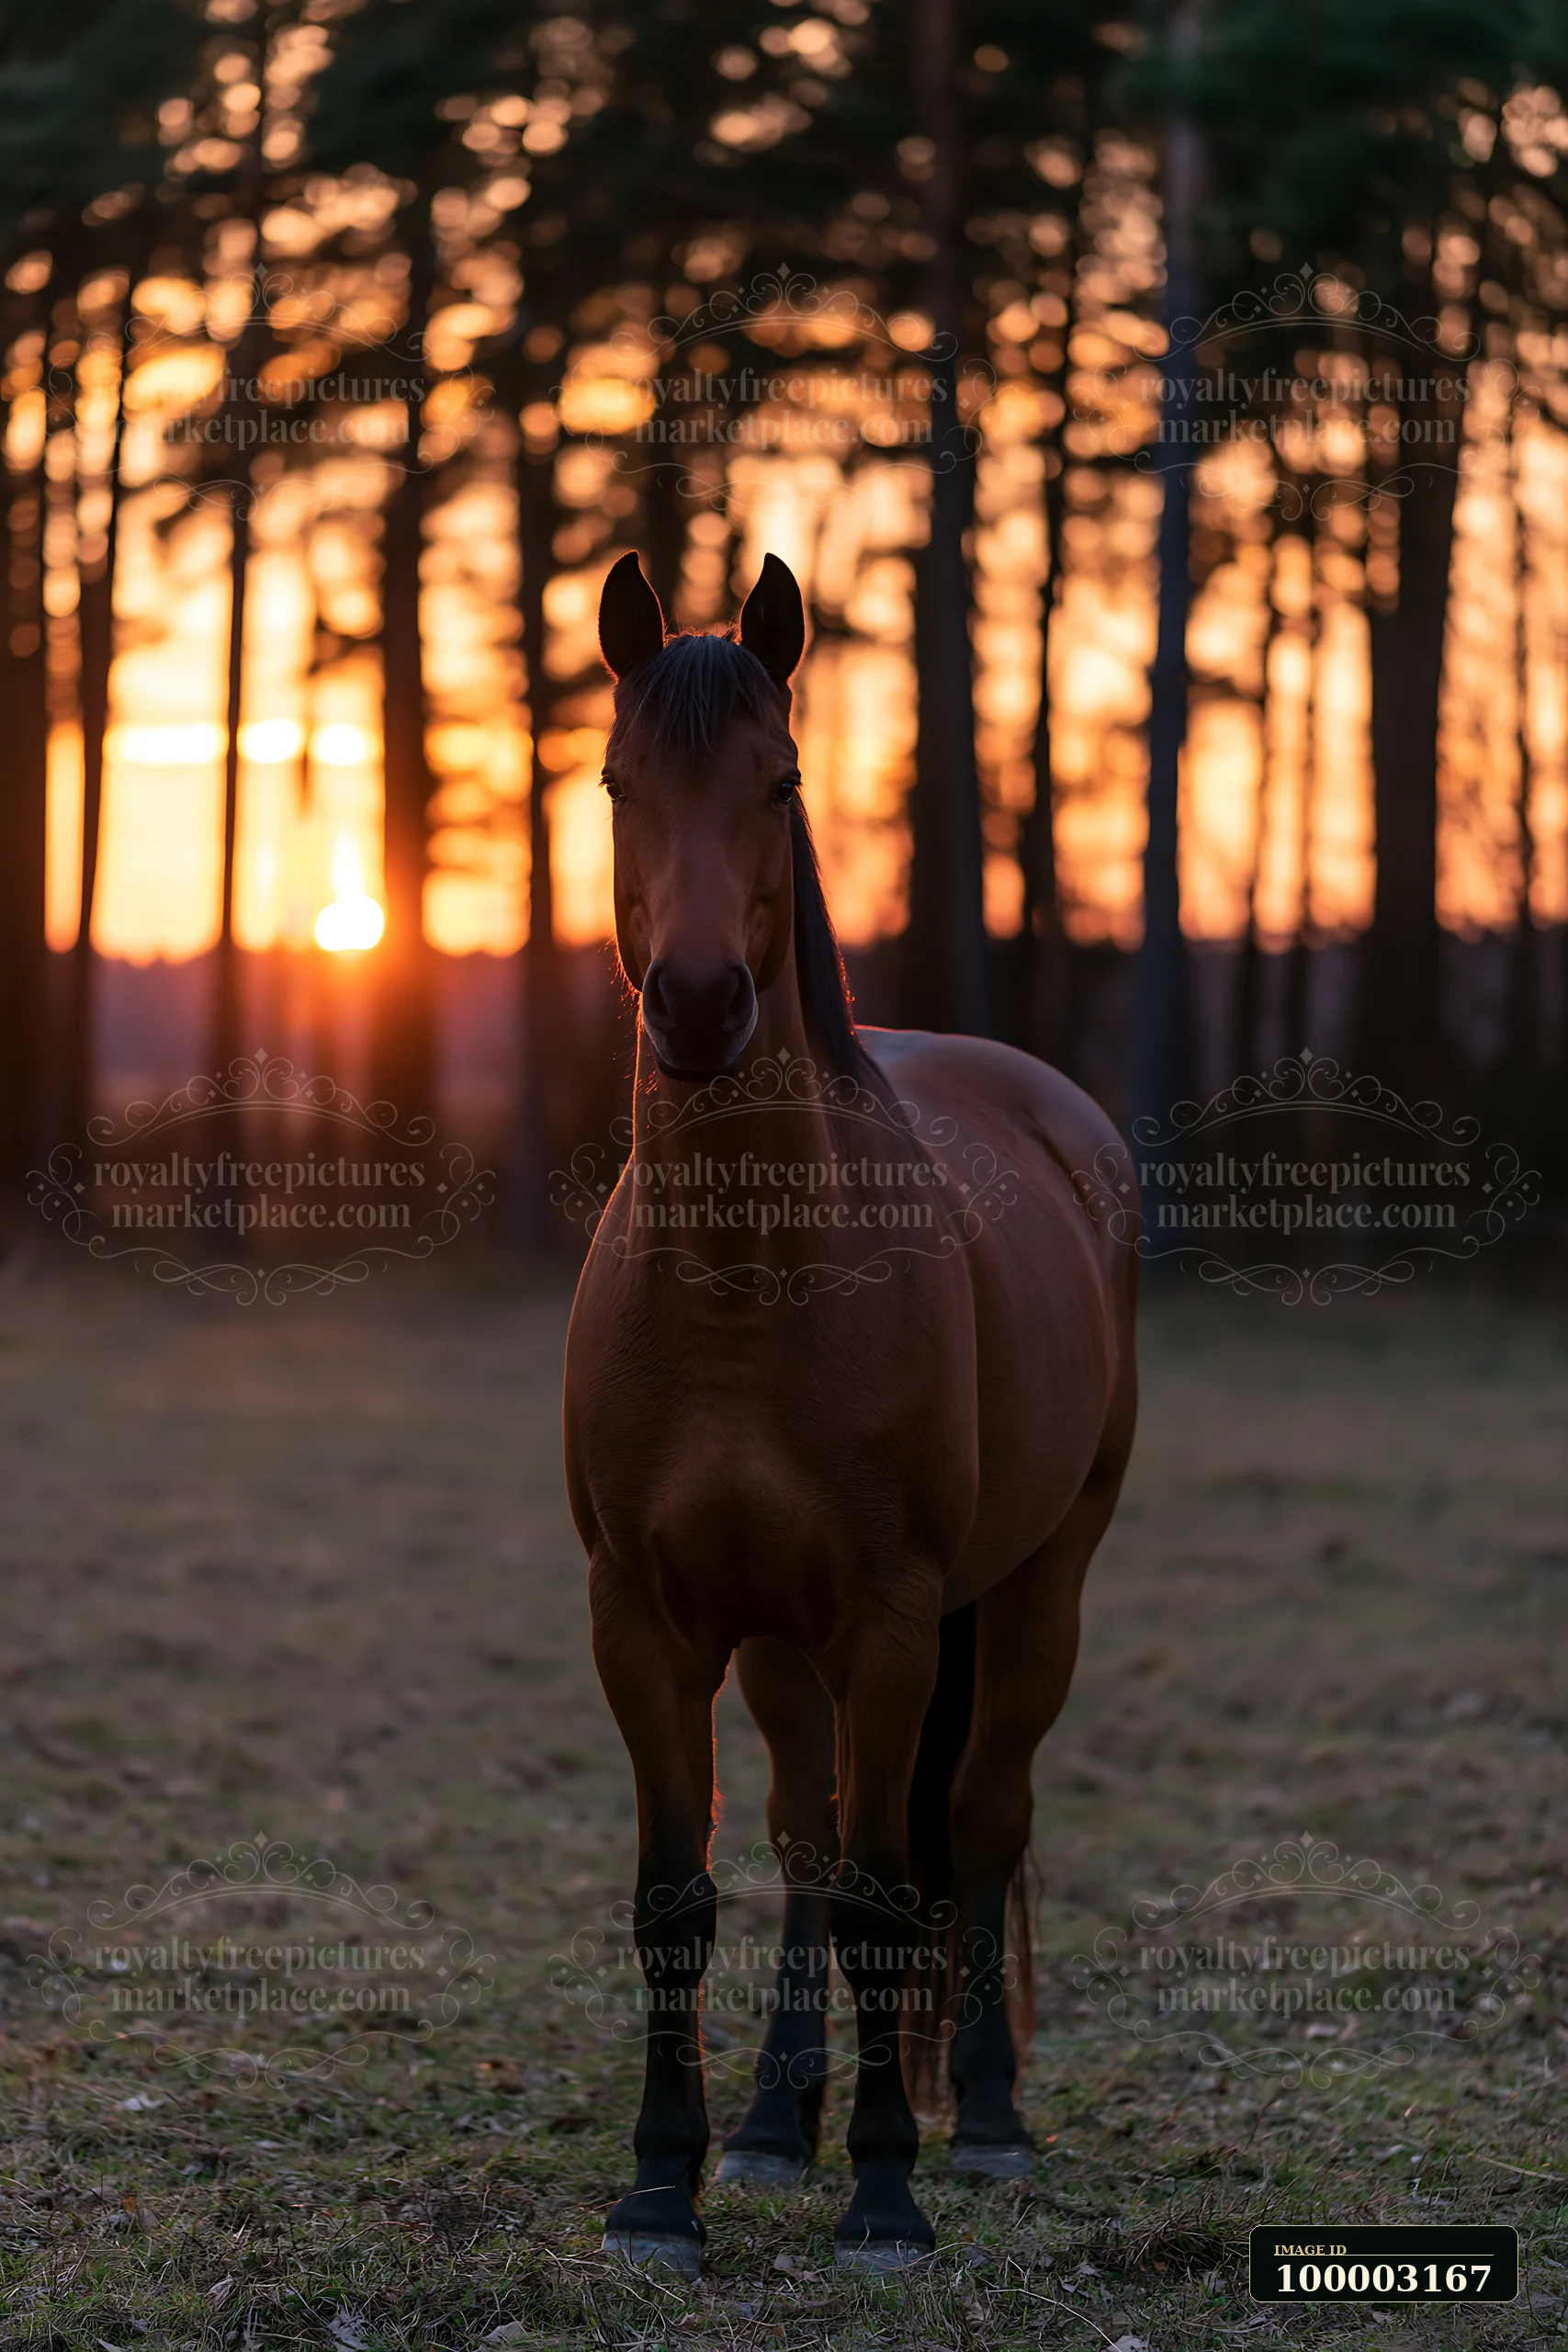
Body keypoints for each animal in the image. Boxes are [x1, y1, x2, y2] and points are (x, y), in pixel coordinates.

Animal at [563, 549, 1138, 2275]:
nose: (697, 1003)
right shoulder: (647, 1623)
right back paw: (767, 2127)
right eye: (615, 781)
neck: (745, 1287)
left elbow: (898, 1892)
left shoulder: (890, 1620)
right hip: (778, 1646)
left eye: (782, 781)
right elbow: (681, 1898)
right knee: (808, 1841)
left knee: (981, 1816)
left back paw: (990, 2123)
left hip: (1034, 1589)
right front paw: (661, 2187)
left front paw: (883, 2194)